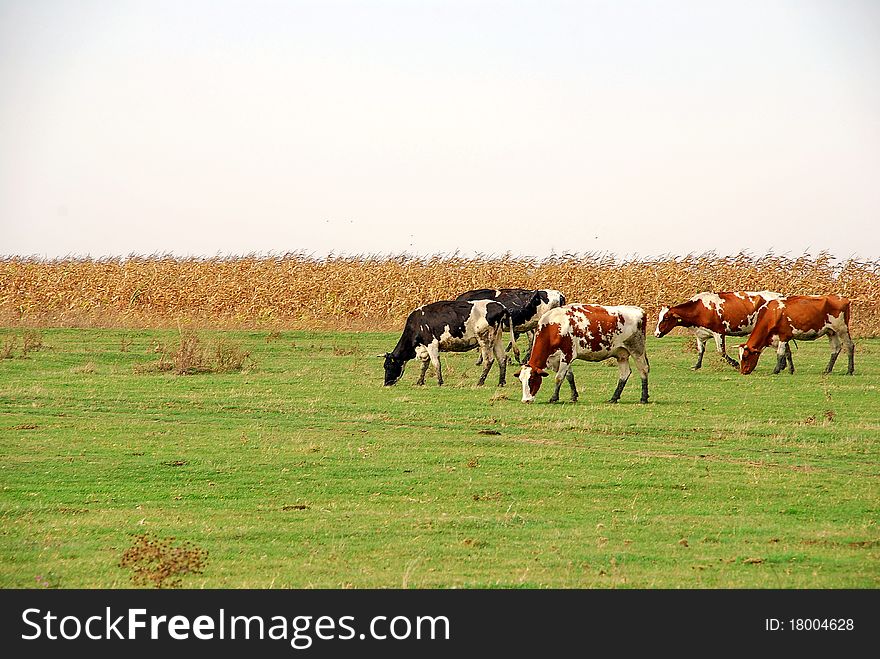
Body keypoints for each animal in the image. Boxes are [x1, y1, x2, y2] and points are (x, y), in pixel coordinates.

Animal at [382, 300, 512, 386]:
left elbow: (436, 363)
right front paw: (420, 381)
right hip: (496, 339)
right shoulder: (425, 349)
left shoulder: (432, 344)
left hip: (484, 339)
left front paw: (440, 382)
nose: (386, 383)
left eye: (387, 366)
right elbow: (424, 365)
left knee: (488, 360)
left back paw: (480, 382)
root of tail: (500, 306)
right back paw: (501, 382)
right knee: (502, 358)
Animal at [516, 306, 648, 408]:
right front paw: (573, 396)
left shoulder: (567, 355)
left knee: (643, 370)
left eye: (532, 379)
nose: (525, 400)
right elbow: (569, 376)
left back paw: (643, 398)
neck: (553, 326)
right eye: (521, 380)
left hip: (637, 351)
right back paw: (614, 398)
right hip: (621, 355)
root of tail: (640, 310)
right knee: (625, 374)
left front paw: (554, 398)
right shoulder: (560, 359)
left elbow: (559, 377)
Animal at [648, 290, 796, 372]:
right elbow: (701, 351)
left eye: (666, 318)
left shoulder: (718, 332)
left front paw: (735, 364)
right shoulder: (701, 335)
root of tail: (779, 296)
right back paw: (785, 366)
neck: (699, 308)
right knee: (786, 347)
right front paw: (697, 366)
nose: (656, 334)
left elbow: (721, 352)